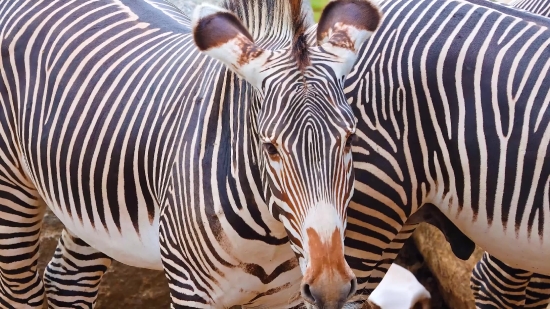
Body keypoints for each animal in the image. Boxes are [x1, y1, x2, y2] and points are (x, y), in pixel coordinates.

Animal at [0, 0, 384, 306]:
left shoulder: (284, 297)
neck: (270, 238)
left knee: (69, 280)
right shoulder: (189, 290)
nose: (331, 289)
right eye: (270, 147)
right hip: (12, 188)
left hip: (90, 204)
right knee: (20, 288)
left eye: (349, 139)